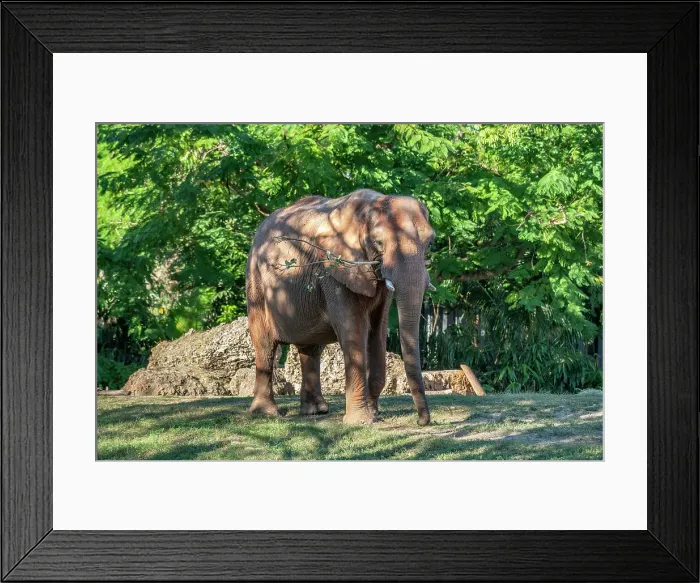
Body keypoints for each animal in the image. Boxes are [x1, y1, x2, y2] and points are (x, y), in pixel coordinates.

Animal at [245, 188, 435, 425]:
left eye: (430, 243)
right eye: (379, 243)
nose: (421, 421)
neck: (369, 206)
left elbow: (378, 331)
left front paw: (374, 414)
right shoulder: (334, 269)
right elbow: (352, 329)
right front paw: (362, 421)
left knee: (311, 349)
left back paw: (315, 411)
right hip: (255, 280)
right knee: (265, 345)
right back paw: (266, 413)